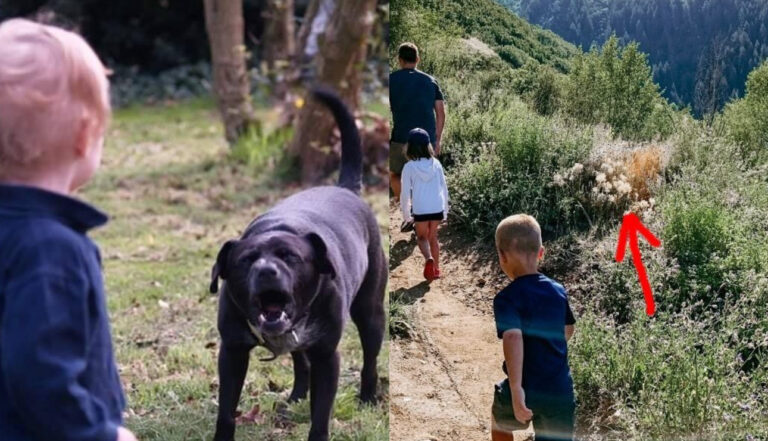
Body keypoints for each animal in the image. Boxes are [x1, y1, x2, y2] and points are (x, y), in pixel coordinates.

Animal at [208, 88, 384, 440]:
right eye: (246, 260)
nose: (266, 271)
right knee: (301, 364)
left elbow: (321, 416)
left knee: (370, 359)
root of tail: (345, 189)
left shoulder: (327, 356)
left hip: (371, 313)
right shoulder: (232, 352)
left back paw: (368, 397)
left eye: (290, 257)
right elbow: (226, 410)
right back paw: (296, 396)